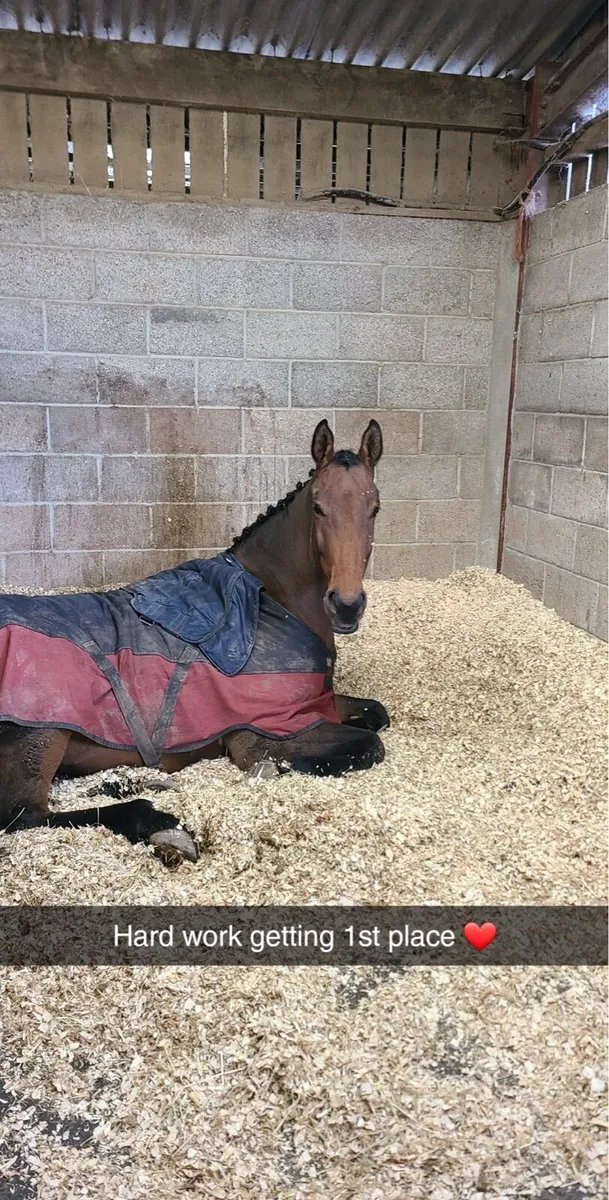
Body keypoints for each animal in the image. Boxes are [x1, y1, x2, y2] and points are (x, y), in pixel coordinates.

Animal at [0, 418, 389, 864]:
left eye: (374, 508)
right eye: (319, 507)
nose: (346, 605)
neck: (269, 604)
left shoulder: (313, 706)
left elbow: (377, 715)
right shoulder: (267, 732)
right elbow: (370, 744)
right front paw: (272, 770)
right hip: (41, 733)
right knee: (23, 814)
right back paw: (159, 824)